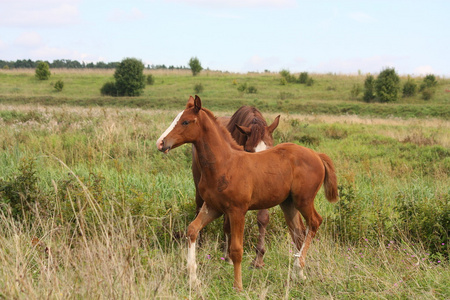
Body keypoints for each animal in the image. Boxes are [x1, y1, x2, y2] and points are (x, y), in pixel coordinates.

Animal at [192, 105, 280, 268]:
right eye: (249, 150)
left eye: (270, 149)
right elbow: (228, 224)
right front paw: (228, 255)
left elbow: (262, 219)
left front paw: (258, 258)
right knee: (199, 209)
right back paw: (200, 245)